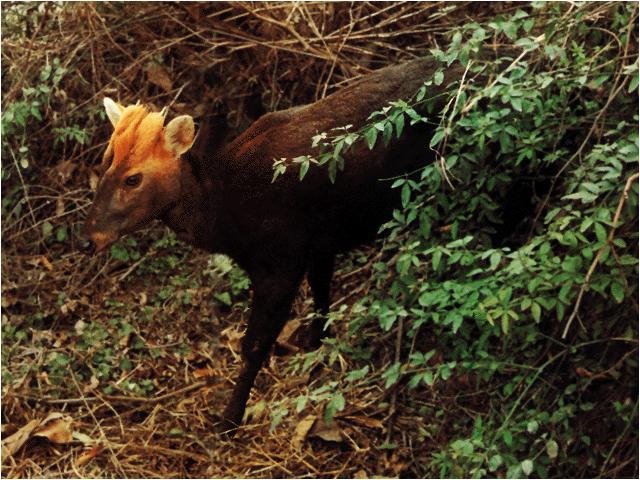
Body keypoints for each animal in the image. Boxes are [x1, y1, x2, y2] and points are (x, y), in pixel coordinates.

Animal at [82, 55, 462, 432]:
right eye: (103, 162)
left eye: (133, 178)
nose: (89, 239)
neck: (224, 210)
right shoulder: (320, 244)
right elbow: (321, 298)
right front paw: (314, 352)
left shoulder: (282, 261)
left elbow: (254, 344)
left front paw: (229, 418)